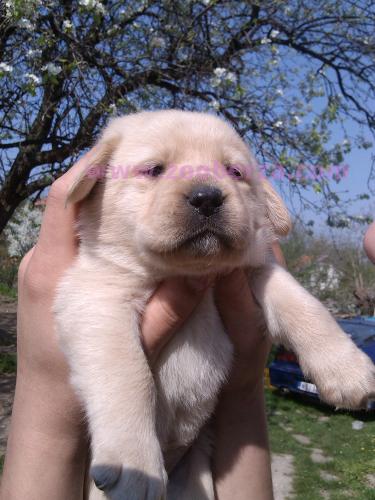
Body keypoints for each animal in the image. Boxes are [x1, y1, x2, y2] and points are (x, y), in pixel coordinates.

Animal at [53, 110, 375, 500]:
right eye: (155, 169)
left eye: (234, 172)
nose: (206, 197)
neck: (189, 272)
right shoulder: (96, 298)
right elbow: (128, 374)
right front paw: (135, 467)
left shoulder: (256, 268)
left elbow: (303, 303)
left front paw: (347, 369)